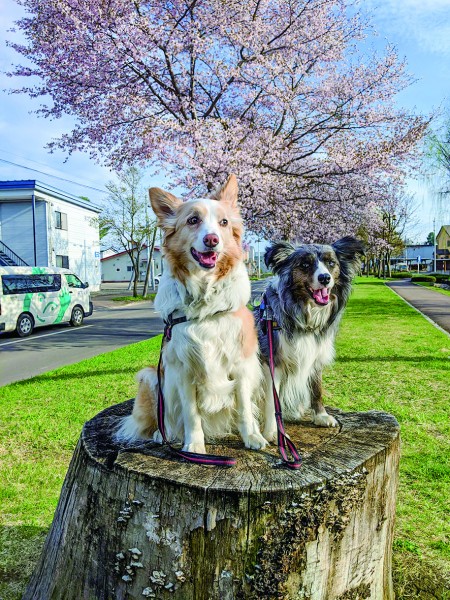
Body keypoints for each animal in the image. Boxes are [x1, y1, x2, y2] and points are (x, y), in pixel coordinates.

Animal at [116, 176, 268, 452]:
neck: (204, 298)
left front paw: (252, 436)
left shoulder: (241, 364)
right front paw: (194, 446)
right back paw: (163, 434)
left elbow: (243, 407)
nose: (212, 240)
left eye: (224, 222)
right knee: (160, 419)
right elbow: (191, 412)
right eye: (193, 220)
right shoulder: (182, 368)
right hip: (152, 376)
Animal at [255, 237, 364, 442]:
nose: (325, 278)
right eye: (305, 264)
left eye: (331, 263)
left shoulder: (315, 353)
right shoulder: (272, 360)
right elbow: (272, 400)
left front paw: (321, 415)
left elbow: (317, 387)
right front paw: (273, 432)